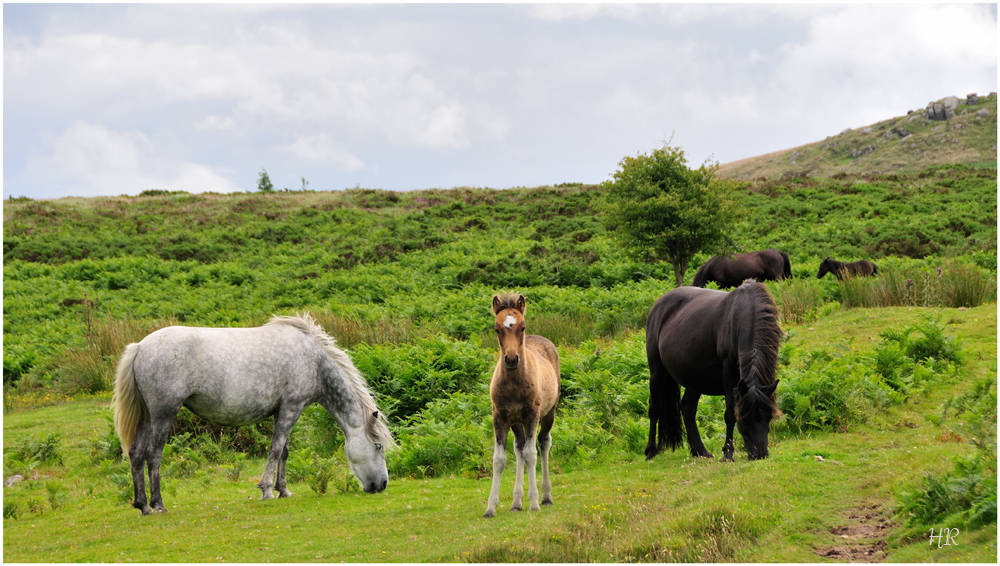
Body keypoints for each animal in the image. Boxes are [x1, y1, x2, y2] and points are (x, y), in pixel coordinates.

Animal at [115, 318, 396, 516]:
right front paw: (267, 490)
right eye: (378, 446)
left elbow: (284, 451)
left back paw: (143, 505)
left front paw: (284, 490)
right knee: (154, 455)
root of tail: (140, 347)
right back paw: (158, 504)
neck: (314, 361)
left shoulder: (281, 411)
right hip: (163, 414)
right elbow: (275, 449)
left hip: (147, 416)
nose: (382, 484)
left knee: (137, 454)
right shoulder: (292, 408)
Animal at [486, 292, 564, 520]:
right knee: (519, 446)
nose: (512, 359)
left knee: (543, 443)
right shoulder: (500, 416)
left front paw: (535, 503)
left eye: (522, 326)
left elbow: (531, 454)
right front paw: (490, 508)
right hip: (516, 421)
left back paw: (546, 497)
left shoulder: (532, 414)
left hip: (548, 414)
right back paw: (516, 502)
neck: (513, 384)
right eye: (497, 328)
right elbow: (499, 459)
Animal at [644, 280, 784, 462]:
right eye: (745, 419)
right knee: (654, 407)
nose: (759, 455)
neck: (746, 313)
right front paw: (728, 454)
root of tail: (658, 306)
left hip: (696, 379)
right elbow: (730, 414)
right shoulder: (729, 371)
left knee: (687, 408)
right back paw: (650, 451)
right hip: (657, 371)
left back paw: (699, 450)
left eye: (769, 417)